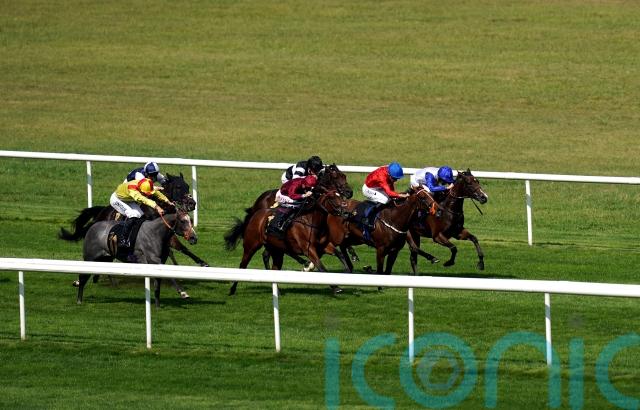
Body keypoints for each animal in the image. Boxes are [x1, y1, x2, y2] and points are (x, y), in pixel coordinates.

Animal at [58, 173, 207, 298]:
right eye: (178, 187)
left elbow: (183, 249)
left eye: (187, 186)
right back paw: (84, 280)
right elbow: (170, 254)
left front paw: (202, 264)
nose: (192, 203)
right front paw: (180, 287)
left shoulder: (169, 235)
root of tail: (102, 211)